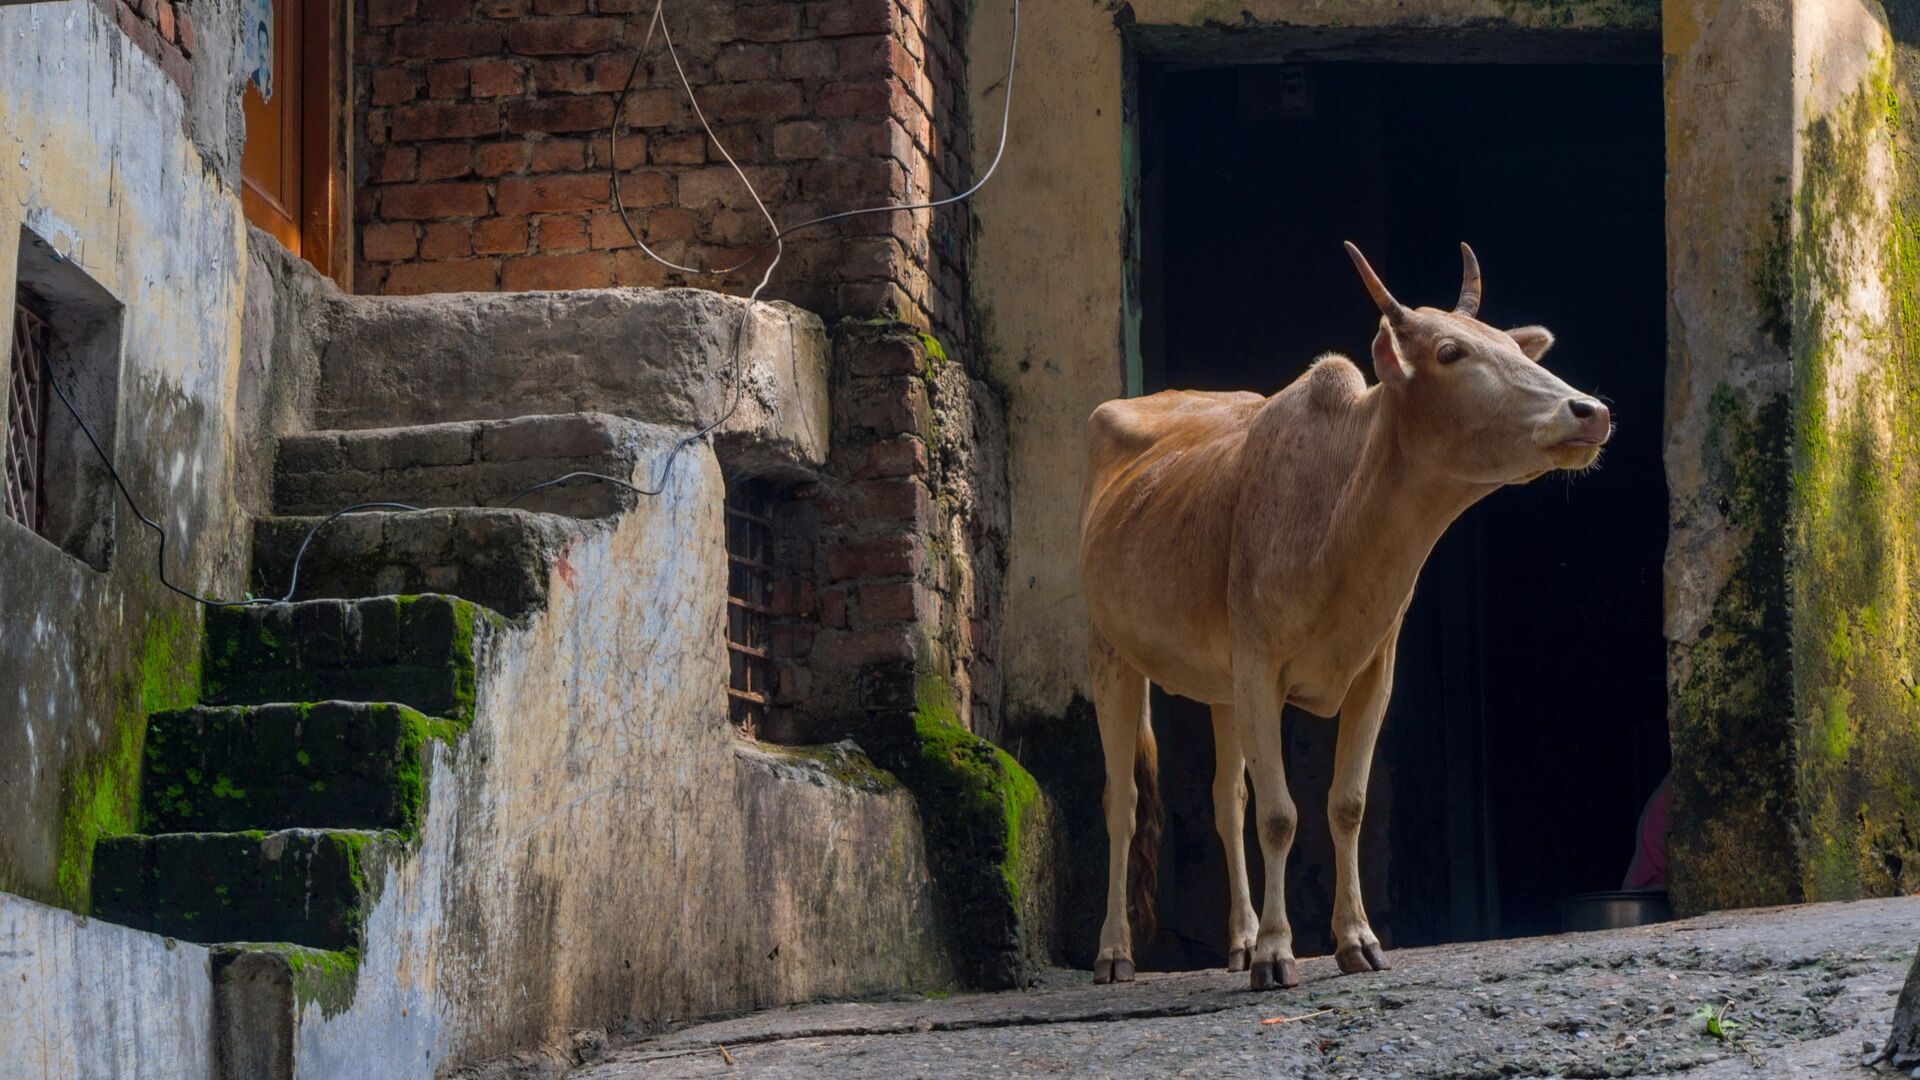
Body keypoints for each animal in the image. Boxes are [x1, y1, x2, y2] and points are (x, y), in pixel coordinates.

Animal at [1082, 242, 1605, 983]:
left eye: (1509, 345)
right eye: (1450, 352)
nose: (1589, 411)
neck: (1341, 518)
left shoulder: (1369, 672)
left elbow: (1345, 805)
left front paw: (1353, 939)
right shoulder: (1260, 670)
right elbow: (1279, 815)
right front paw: (1279, 953)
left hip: (1219, 687)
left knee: (1225, 798)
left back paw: (1239, 941)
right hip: (1110, 655)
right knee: (1123, 804)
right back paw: (1116, 952)